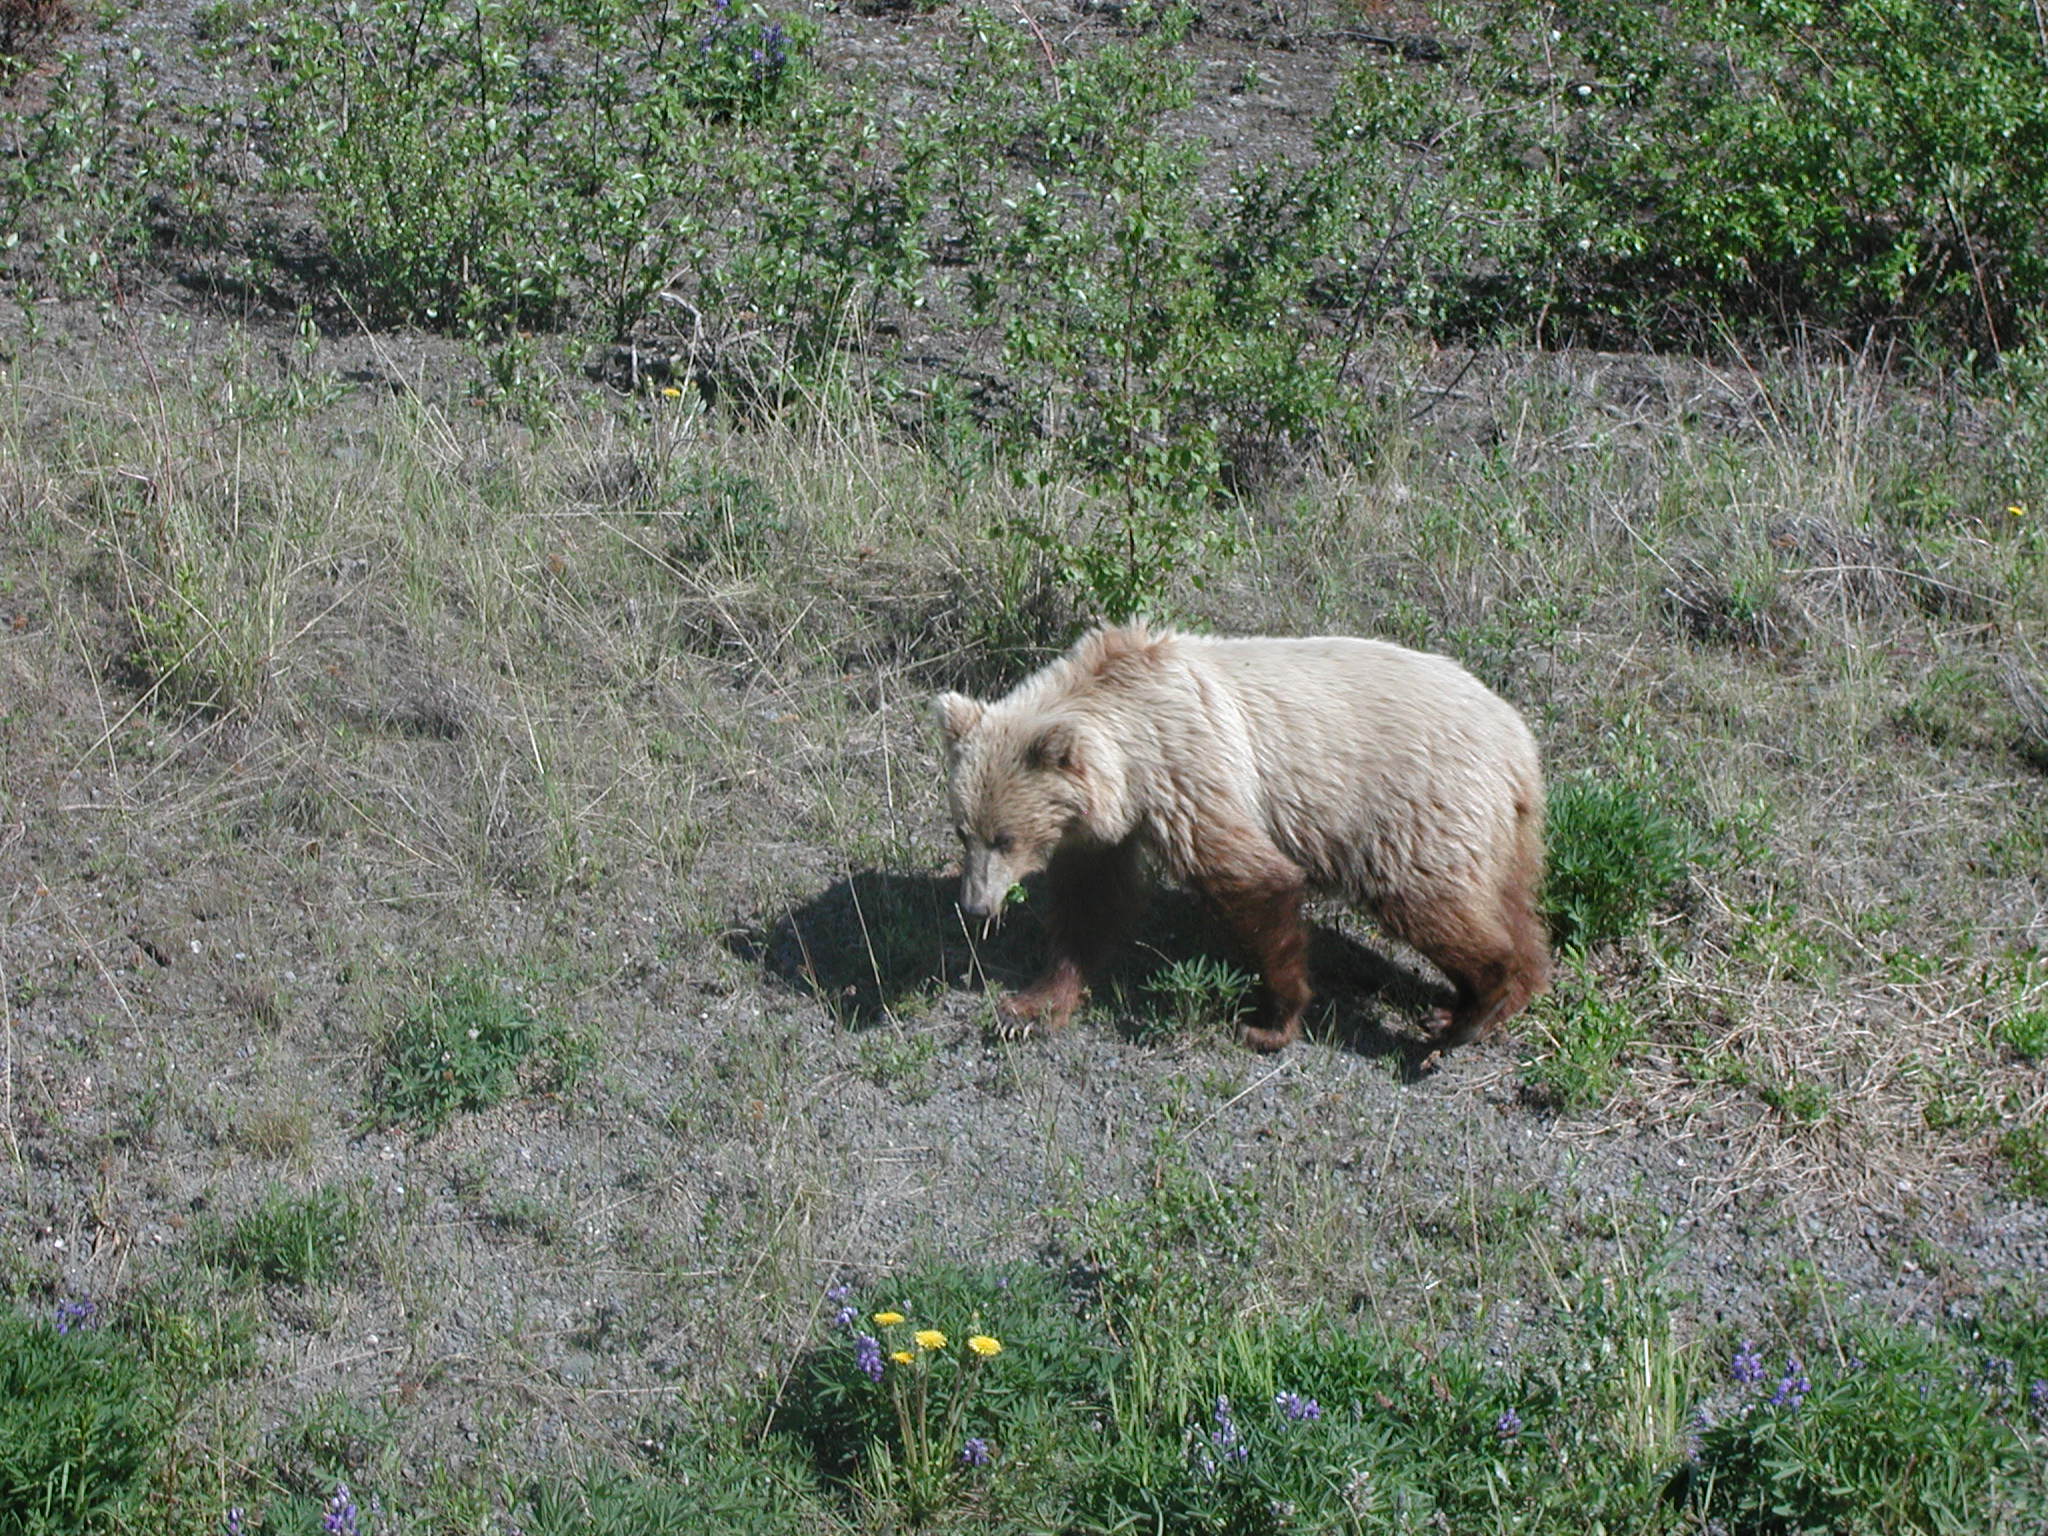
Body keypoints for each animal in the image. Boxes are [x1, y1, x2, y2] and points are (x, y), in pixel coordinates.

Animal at [937, 618, 1540, 1056]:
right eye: (965, 830)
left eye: (1006, 838)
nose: (974, 904)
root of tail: (1519, 742)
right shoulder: (1103, 827)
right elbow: (1090, 905)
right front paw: (1030, 1006)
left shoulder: (1190, 770)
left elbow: (1254, 880)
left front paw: (1273, 1020)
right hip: (1502, 830)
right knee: (1512, 906)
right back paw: (1500, 995)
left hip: (1419, 807)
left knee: (1428, 901)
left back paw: (1472, 1010)